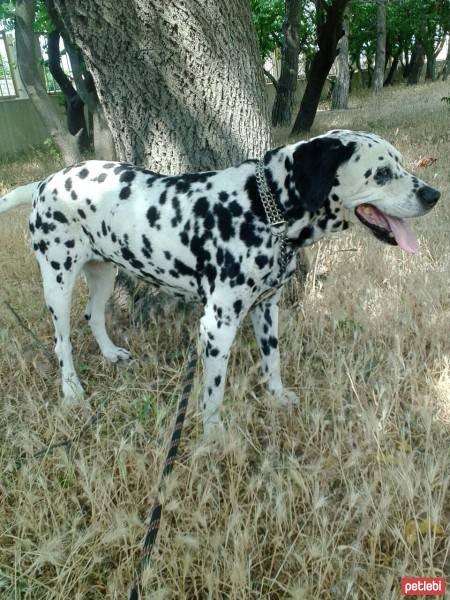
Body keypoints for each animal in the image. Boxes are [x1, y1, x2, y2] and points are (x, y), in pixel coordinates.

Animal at [0, 129, 442, 434]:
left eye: (400, 164)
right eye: (381, 173)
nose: (434, 195)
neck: (263, 207)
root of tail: (44, 182)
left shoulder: (266, 308)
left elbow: (272, 361)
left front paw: (277, 396)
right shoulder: (217, 326)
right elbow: (213, 393)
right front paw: (213, 437)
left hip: (103, 271)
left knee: (93, 315)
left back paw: (110, 354)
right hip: (57, 280)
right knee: (62, 341)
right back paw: (72, 391)